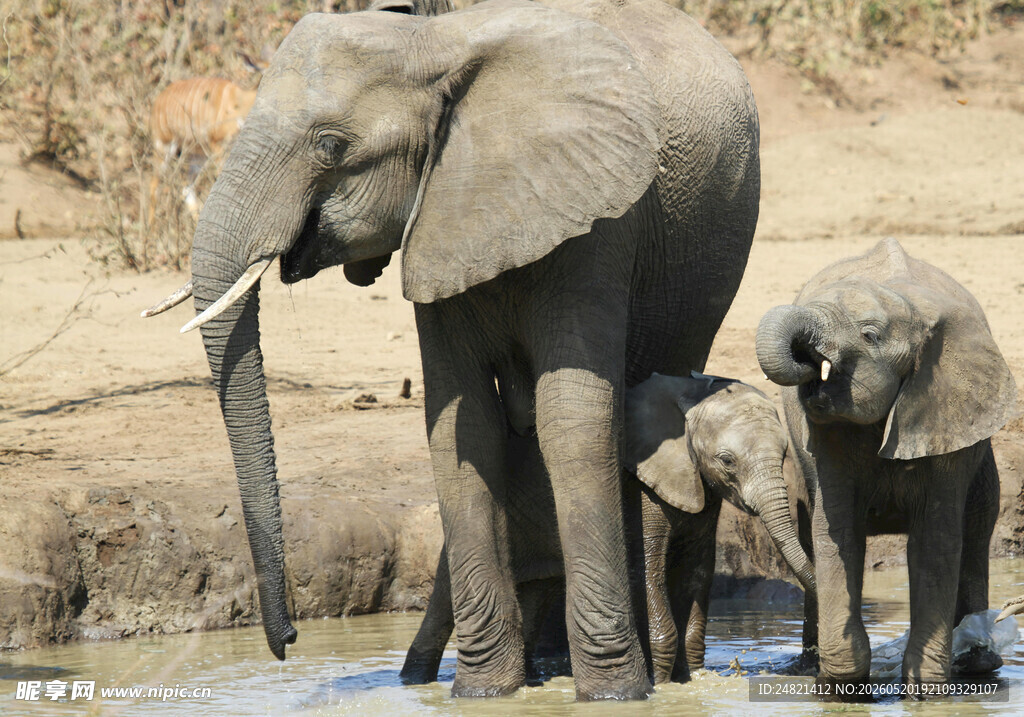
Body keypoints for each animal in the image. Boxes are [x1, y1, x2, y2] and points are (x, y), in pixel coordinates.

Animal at [146, 0, 760, 700]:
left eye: (331, 146)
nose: (290, 642)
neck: (433, 45)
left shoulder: (600, 220)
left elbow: (571, 421)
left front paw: (614, 694)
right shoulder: (436, 220)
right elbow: (462, 425)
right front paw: (488, 691)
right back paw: (550, 666)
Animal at [400, 373, 816, 687]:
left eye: (784, 455)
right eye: (727, 461)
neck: (690, 394)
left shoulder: (700, 489)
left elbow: (697, 570)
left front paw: (691, 677)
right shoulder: (639, 485)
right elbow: (645, 568)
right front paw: (661, 682)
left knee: (538, 592)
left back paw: (532, 681)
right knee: (445, 597)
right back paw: (414, 680)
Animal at [755, 237, 1017, 695]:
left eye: (870, 335)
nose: (805, 355)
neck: (903, 302)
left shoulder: (941, 413)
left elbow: (934, 540)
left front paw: (927, 691)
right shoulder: (825, 437)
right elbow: (837, 534)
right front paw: (841, 687)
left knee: (976, 531)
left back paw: (977, 664)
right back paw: (806, 667)